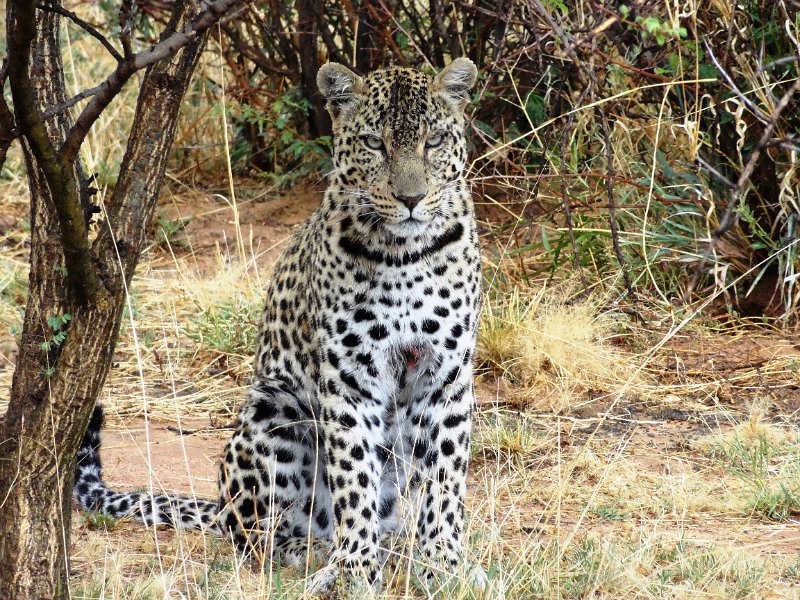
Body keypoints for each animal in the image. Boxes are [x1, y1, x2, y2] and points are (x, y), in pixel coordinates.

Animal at [74, 58, 484, 595]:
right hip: (273, 409)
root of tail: (218, 508)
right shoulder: (350, 378)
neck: (406, 254)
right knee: (257, 533)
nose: (411, 198)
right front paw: (354, 571)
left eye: (433, 141)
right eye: (374, 143)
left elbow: (446, 478)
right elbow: (354, 478)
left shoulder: (445, 374)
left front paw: (445, 564)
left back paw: (394, 547)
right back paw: (316, 553)